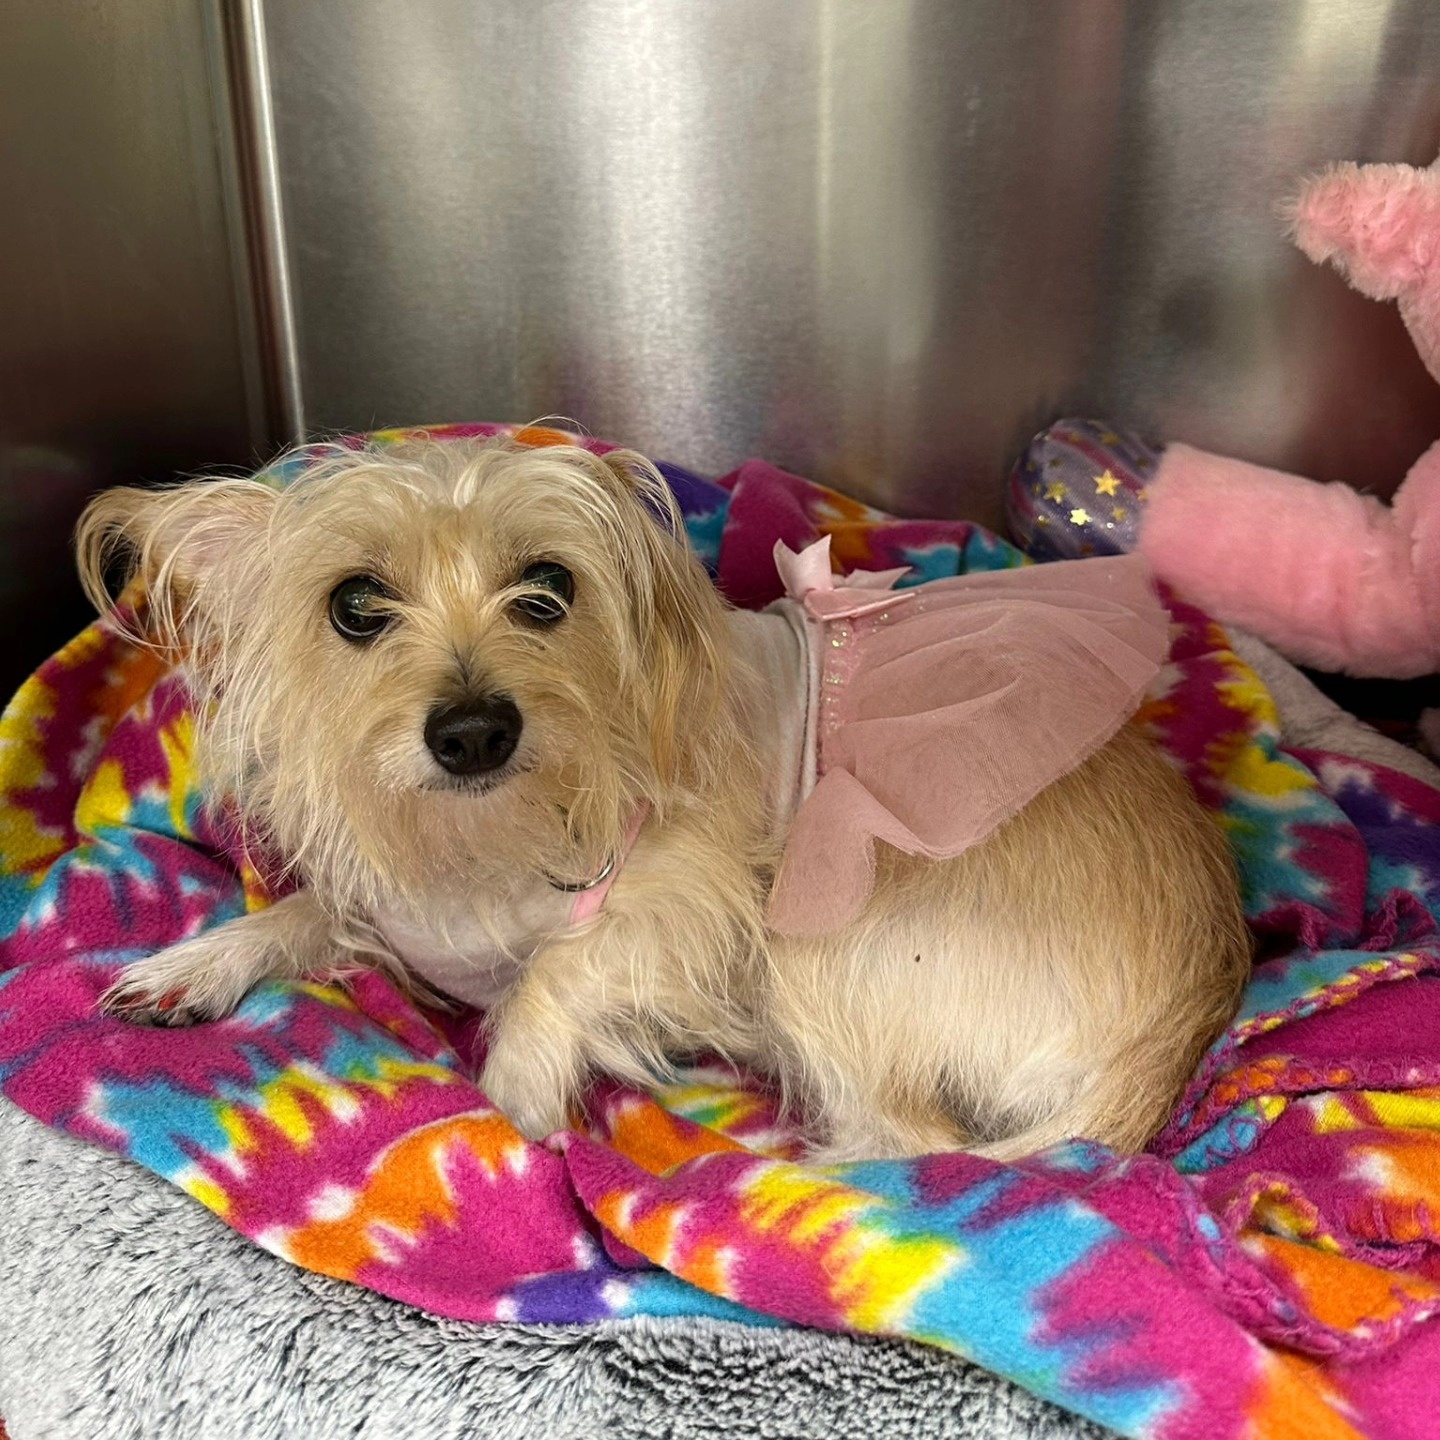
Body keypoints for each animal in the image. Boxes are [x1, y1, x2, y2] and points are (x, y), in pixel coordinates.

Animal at [75, 434, 1249, 1157]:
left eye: (548, 590)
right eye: (355, 606)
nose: (473, 731)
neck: (485, 839)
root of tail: (1193, 1004)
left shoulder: (687, 910)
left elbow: (551, 979)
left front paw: (505, 1113)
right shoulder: (397, 907)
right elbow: (306, 911)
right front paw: (200, 963)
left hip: (811, 940)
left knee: (923, 1147)